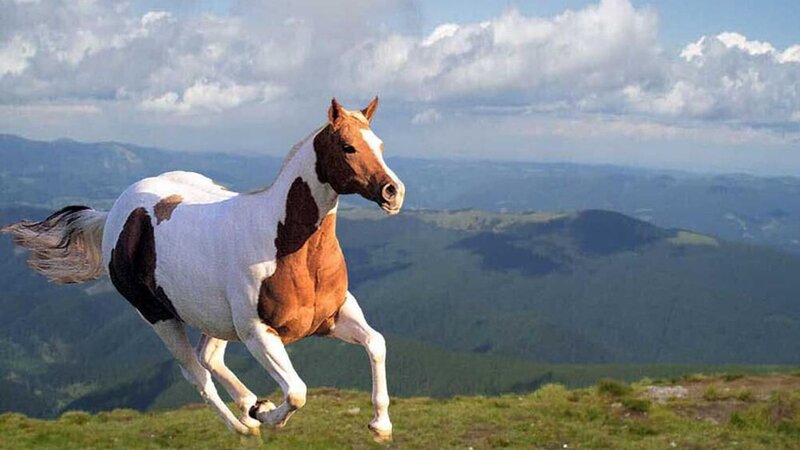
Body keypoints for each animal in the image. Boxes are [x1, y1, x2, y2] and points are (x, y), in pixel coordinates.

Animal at [2, 97, 404, 439]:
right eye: (348, 147)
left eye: (380, 145)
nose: (393, 192)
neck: (286, 246)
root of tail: (115, 212)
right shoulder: (258, 333)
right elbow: (297, 392)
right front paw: (267, 415)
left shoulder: (334, 315)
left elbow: (376, 343)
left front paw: (380, 425)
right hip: (160, 316)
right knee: (195, 372)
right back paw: (244, 426)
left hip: (214, 318)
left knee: (207, 357)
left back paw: (249, 406)